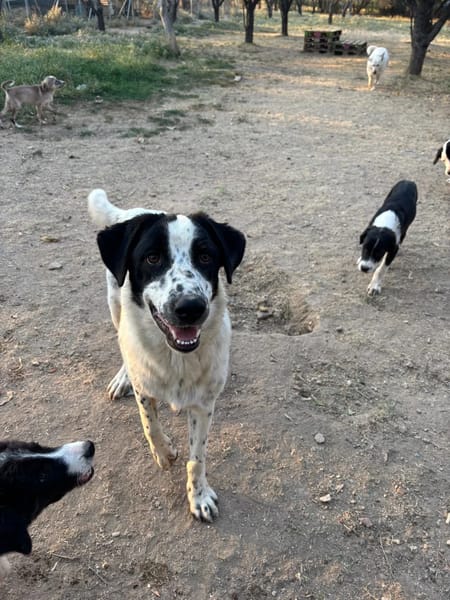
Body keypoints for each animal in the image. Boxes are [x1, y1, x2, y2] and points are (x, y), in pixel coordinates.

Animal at [88, 189, 245, 522]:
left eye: (206, 256)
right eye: (152, 257)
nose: (191, 308)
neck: (177, 359)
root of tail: (138, 210)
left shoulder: (203, 405)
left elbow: (197, 458)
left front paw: (199, 497)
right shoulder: (144, 389)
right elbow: (150, 425)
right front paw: (164, 452)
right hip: (114, 303)